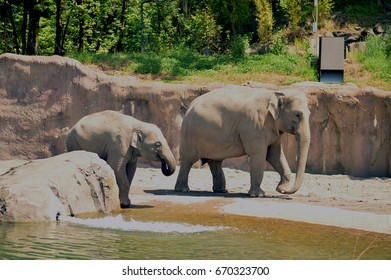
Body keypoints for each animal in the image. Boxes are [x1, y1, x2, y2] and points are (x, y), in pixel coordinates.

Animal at [176, 85, 310, 197]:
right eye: (297, 115)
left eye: (309, 114)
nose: (282, 191)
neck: (275, 93)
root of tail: (190, 106)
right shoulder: (254, 125)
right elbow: (259, 155)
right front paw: (258, 195)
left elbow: (274, 154)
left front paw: (281, 186)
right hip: (190, 134)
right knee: (188, 160)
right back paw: (183, 190)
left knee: (215, 162)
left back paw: (221, 191)